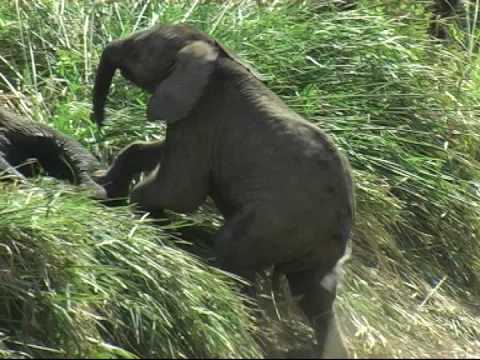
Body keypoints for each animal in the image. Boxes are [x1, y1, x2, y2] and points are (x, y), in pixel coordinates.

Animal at [90, 23, 354, 358]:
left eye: (139, 48)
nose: (98, 120)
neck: (218, 56)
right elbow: (153, 154)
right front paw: (104, 182)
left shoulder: (203, 113)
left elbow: (181, 189)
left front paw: (134, 210)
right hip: (316, 248)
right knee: (315, 294)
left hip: (274, 223)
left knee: (233, 253)